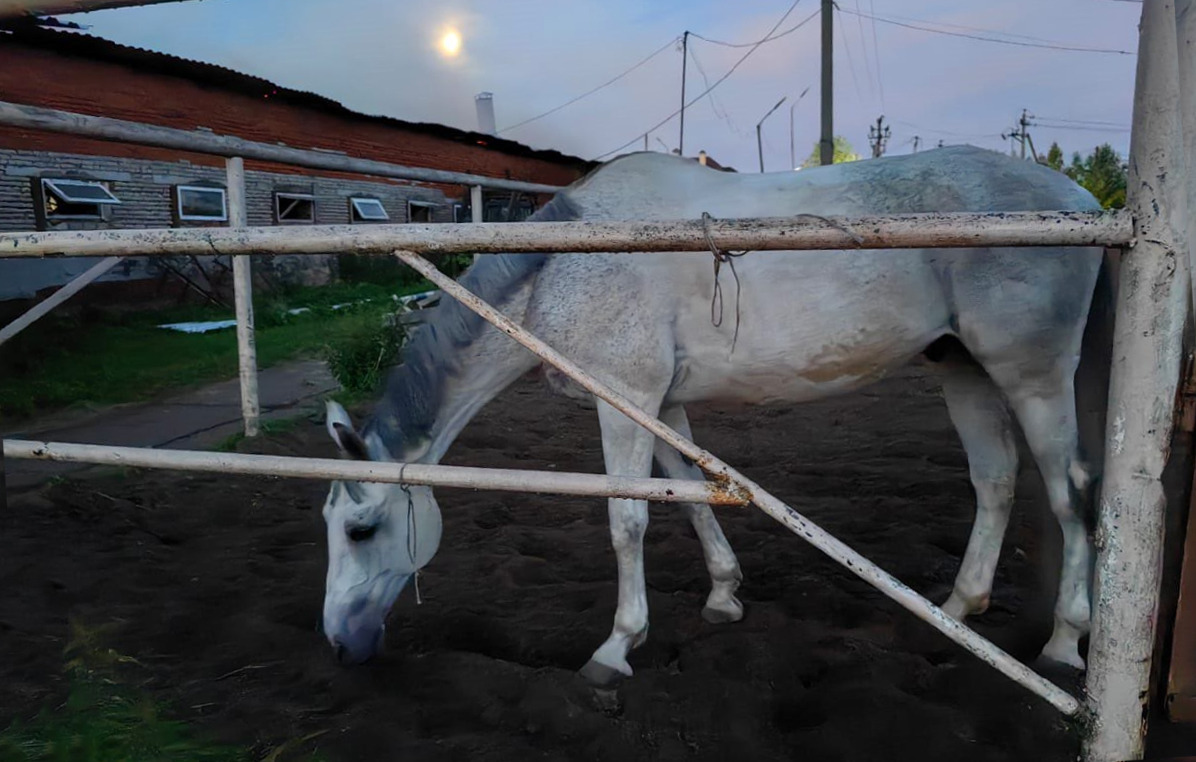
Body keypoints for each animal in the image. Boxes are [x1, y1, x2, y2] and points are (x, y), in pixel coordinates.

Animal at [315, 144, 1100, 684]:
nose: (340, 644)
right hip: (962, 369)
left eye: (362, 530)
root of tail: (1082, 201)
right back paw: (958, 614)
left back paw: (1064, 643)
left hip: (1033, 378)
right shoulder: (660, 404)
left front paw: (615, 648)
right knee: (995, 483)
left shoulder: (625, 400)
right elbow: (690, 497)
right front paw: (724, 596)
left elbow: (627, 519)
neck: (562, 266)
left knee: (1071, 497)